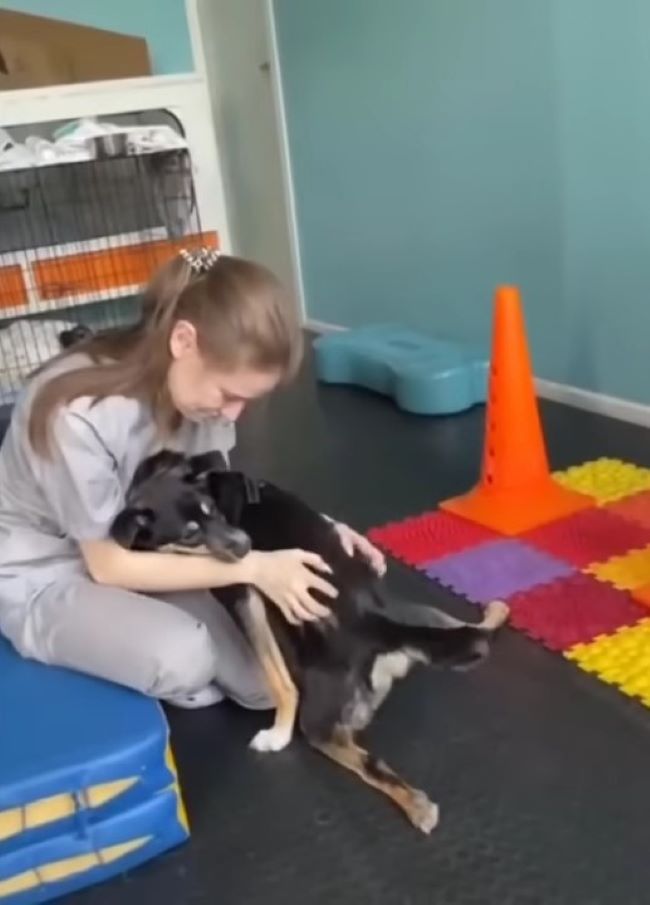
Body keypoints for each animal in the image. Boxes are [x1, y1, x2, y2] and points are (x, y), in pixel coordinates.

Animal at [110, 452, 506, 832]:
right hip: (421, 615)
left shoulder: (244, 597)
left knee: (368, 762)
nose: (246, 545)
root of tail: (376, 625)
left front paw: (278, 732)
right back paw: (496, 611)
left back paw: (416, 806)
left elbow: (281, 682)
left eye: (213, 511)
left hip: (318, 720)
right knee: (469, 629)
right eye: (190, 534)